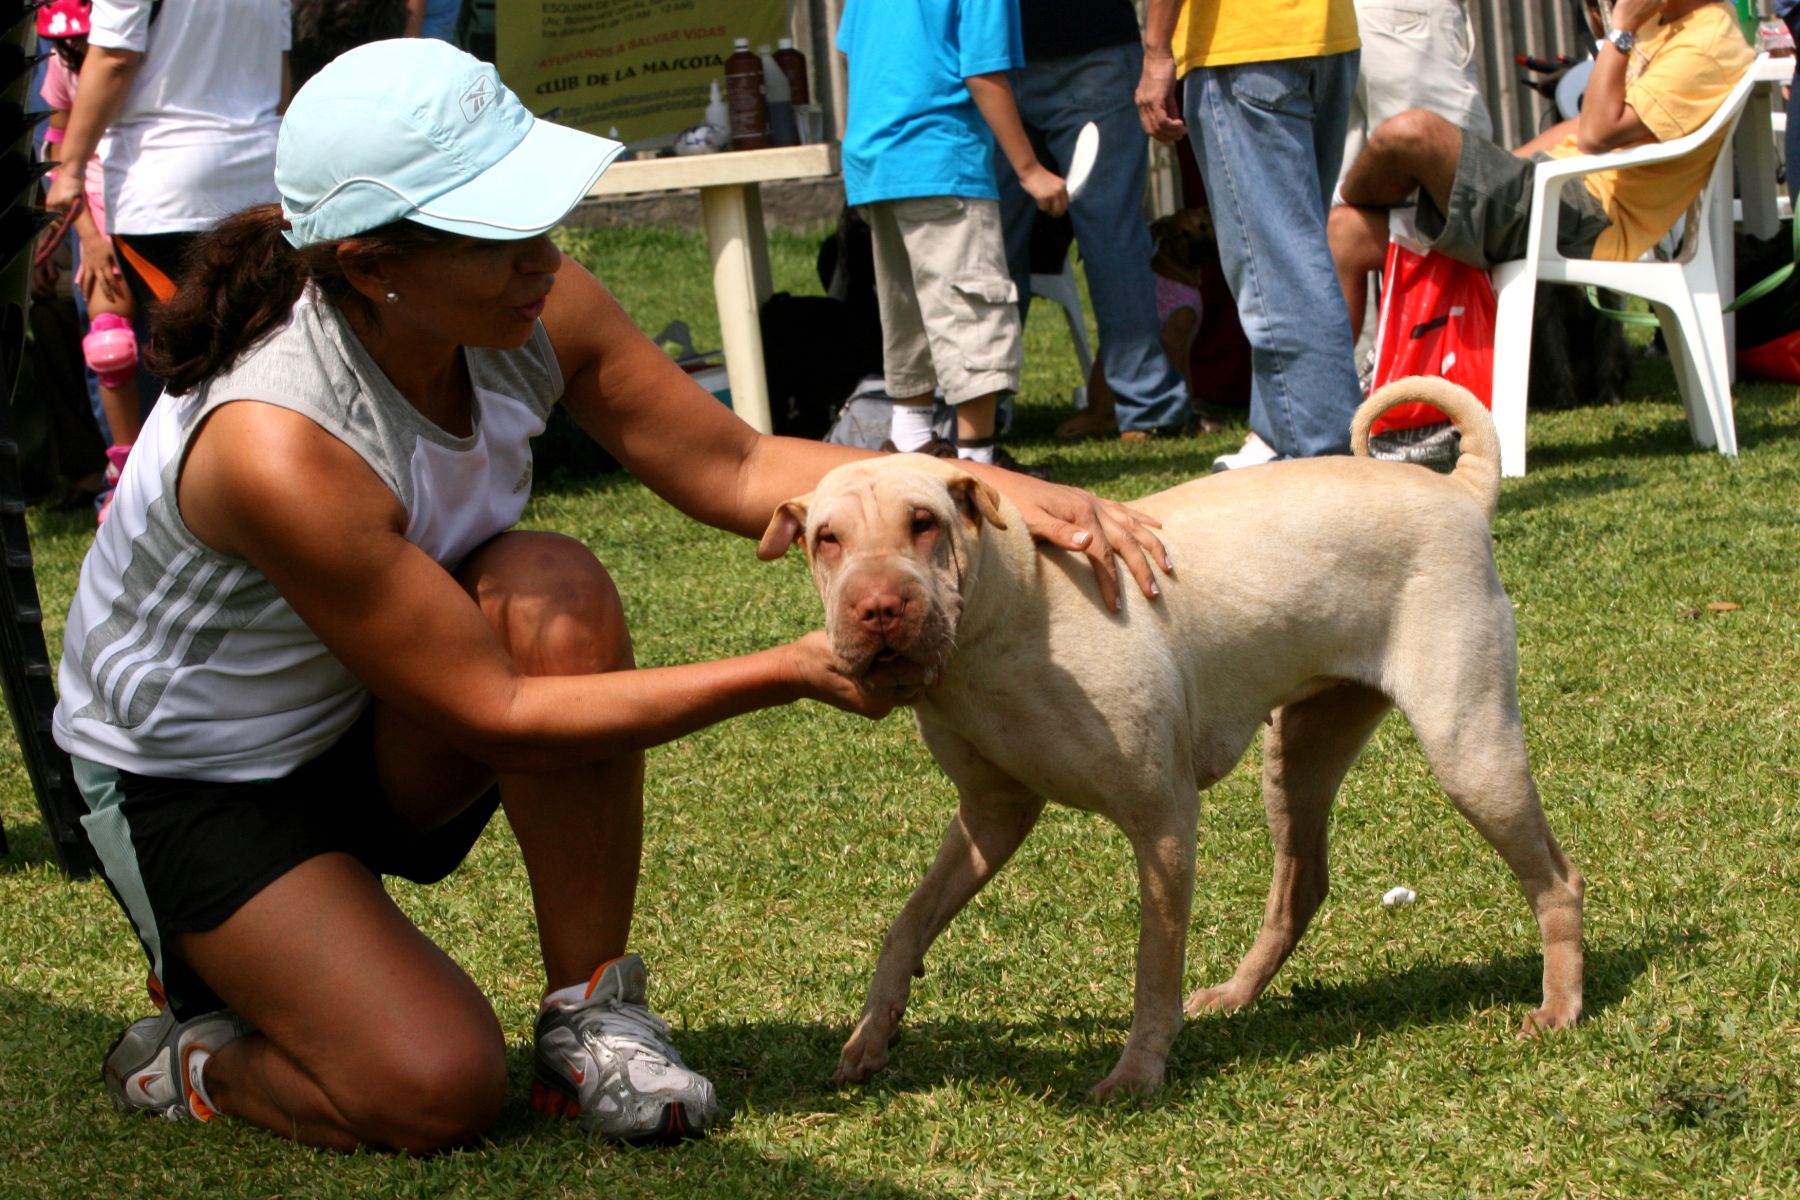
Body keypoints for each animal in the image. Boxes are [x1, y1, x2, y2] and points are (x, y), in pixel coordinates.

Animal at [766, 379, 1584, 1101]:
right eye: (826, 539)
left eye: (925, 522)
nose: (878, 609)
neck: (1007, 613)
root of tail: (1460, 492)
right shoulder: (991, 816)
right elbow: (907, 924)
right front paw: (872, 1032)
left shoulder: (1161, 819)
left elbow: (1153, 968)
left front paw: (1137, 1075)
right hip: (1302, 749)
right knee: (1302, 884)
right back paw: (1238, 993)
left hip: (1468, 748)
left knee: (1557, 879)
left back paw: (1559, 1007)